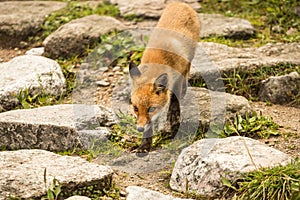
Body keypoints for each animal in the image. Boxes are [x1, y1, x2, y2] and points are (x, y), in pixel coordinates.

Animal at [128, 1, 199, 152]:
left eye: (151, 109)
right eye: (135, 108)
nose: (139, 129)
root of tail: (179, 3)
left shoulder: (177, 76)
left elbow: (174, 99)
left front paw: (173, 117)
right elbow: (149, 126)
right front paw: (144, 145)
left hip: (191, 55)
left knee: (188, 70)